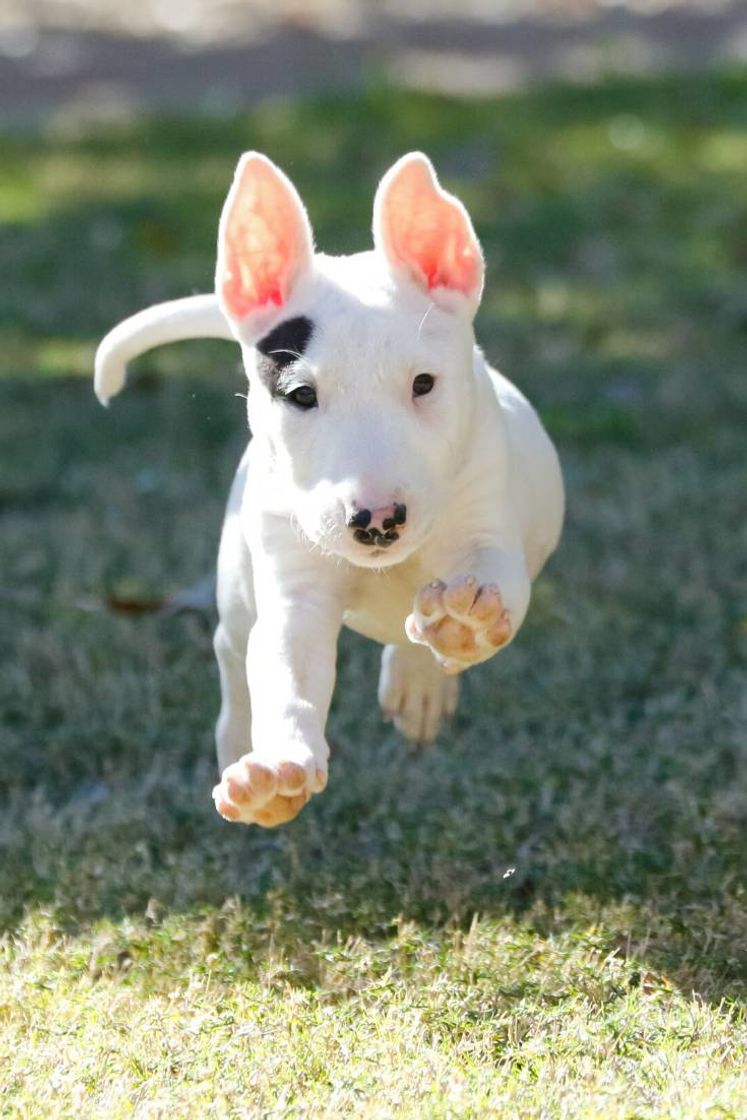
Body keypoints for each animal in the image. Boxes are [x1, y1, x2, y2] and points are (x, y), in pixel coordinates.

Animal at [93, 153, 564, 828]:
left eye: (424, 383)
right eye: (300, 394)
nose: (378, 520)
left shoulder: (485, 517)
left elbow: (493, 577)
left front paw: (464, 622)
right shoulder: (296, 586)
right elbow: (286, 664)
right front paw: (275, 773)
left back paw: (423, 677)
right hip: (239, 577)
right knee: (235, 648)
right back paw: (238, 742)